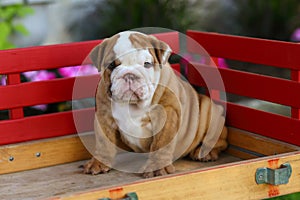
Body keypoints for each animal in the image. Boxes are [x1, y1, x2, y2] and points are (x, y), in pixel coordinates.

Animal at [82, 31, 227, 178]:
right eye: (111, 65)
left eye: (147, 64)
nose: (129, 75)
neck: (133, 105)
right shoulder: (103, 115)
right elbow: (103, 143)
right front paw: (98, 162)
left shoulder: (167, 113)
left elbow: (161, 143)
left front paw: (157, 167)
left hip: (209, 111)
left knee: (220, 140)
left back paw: (205, 152)